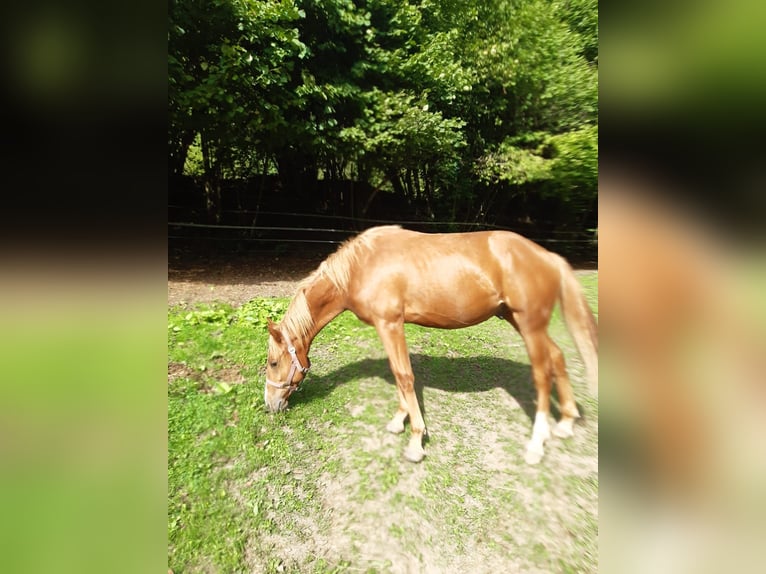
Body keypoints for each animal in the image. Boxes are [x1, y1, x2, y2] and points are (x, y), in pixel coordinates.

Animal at [264, 225, 598, 464]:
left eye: (273, 362)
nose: (271, 404)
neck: (362, 266)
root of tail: (548, 256)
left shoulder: (390, 324)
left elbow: (404, 375)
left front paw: (415, 441)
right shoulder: (390, 327)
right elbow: (398, 373)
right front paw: (399, 421)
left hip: (529, 325)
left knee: (542, 375)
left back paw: (537, 444)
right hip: (520, 321)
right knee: (557, 357)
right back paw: (566, 422)